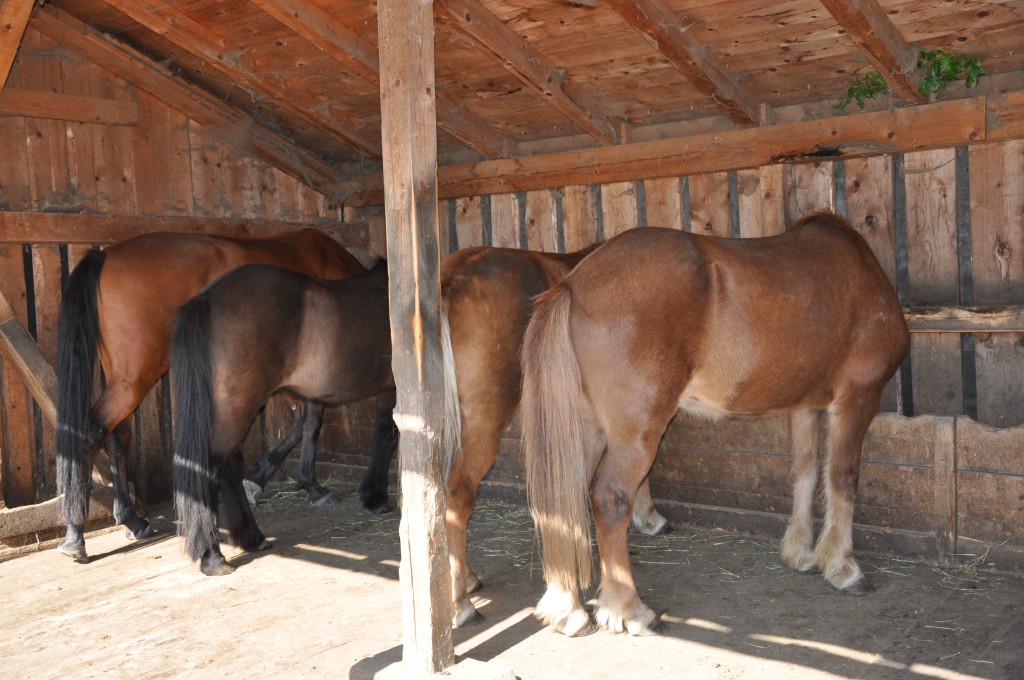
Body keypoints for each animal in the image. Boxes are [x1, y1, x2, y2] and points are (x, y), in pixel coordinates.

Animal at [55, 228, 368, 561]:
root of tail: (103, 257)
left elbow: (301, 423)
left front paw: (258, 480)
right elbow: (309, 423)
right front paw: (307, 485)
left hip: (124, 381)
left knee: (116, 438)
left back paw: (131, 520)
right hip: (134, 380)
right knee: (91, 434)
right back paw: (75, 535)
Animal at [169, 260, 393, 573]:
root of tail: (207, 299)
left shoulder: (311, 395)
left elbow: (308, 427)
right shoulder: (392, 386)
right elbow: (387, 433)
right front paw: (376, 496)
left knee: (229, 467)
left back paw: (252, 537)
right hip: (239, 407)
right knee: (213, 466)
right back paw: (213, 556)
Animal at [524, 213, 909, 639]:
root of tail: (573, 285)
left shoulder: (805, 405)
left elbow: (805, 472)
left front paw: (801, 553)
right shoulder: (858, 397)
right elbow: (843, 478)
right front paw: (843, 567)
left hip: (587, 429)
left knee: (563, 500)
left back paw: (567, 610)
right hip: (635, 430)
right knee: (609, 499)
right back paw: (631, 610)